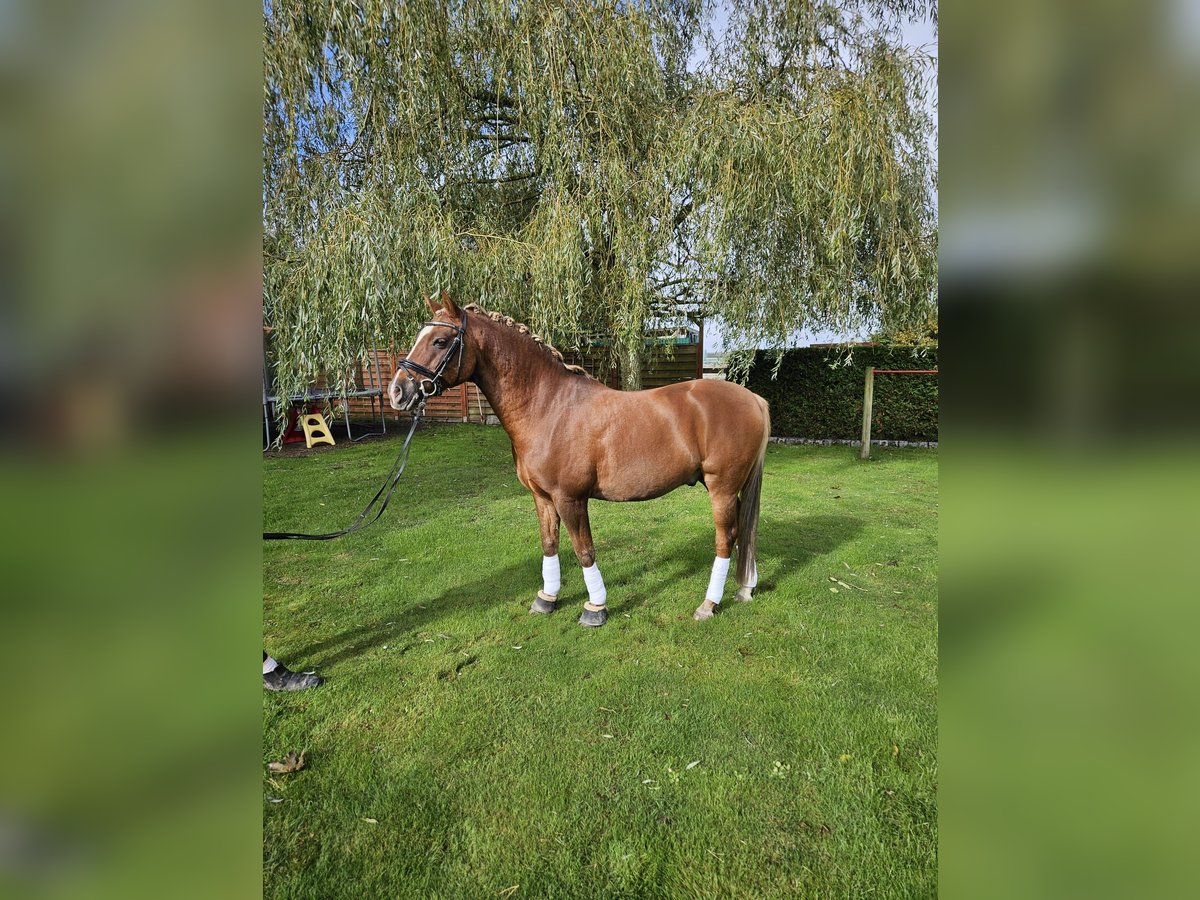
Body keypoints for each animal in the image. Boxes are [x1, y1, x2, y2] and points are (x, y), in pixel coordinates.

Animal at [388, 294, 772, 628]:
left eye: (440, 341)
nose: (397, 391)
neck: (548, 406)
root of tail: (753, 399)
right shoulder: (542, 498)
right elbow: (549, 545)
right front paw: (546, 598)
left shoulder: (569, 498)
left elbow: (583, 550)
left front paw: (595, 608)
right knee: (743, 530)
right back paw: (744, 588)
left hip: (721, 489)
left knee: (726, 538)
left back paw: (708, 604)